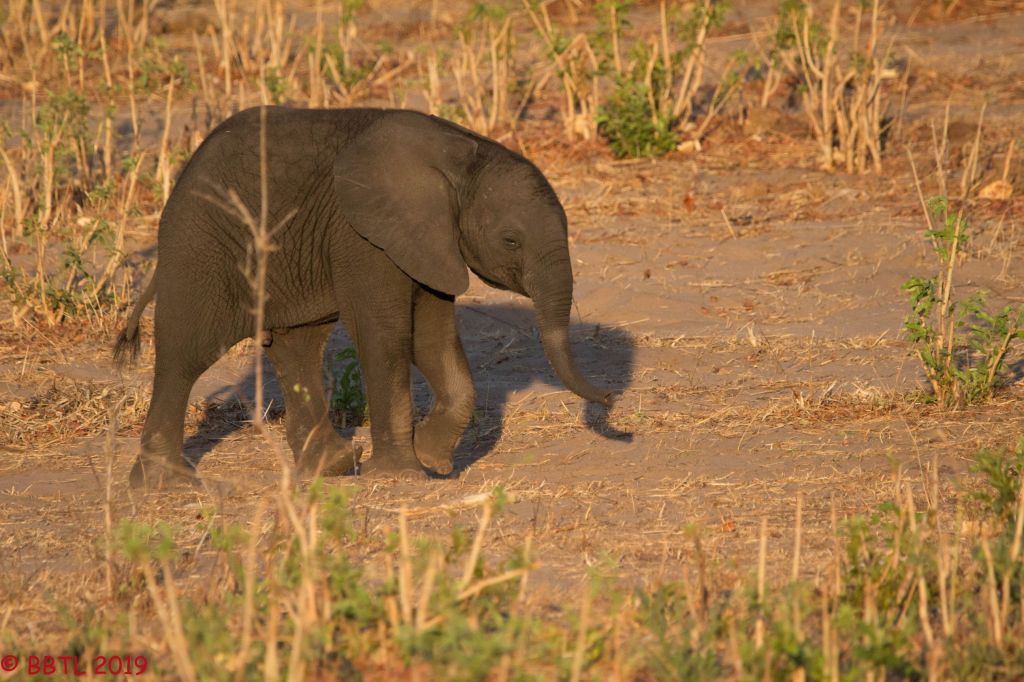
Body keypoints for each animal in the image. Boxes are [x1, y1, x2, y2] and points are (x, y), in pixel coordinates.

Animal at [114, 106, 612, 488]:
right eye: (511, 241)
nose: (608, 399)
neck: (462, 157)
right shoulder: (363, 236)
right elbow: (384, 335)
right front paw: (401, 477)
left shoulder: (429, 242)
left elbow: (431, 338)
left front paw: (431, 460)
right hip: (199, 245)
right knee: (185, 354)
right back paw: (166, 484)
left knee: (298, 345)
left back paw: (330, 467)